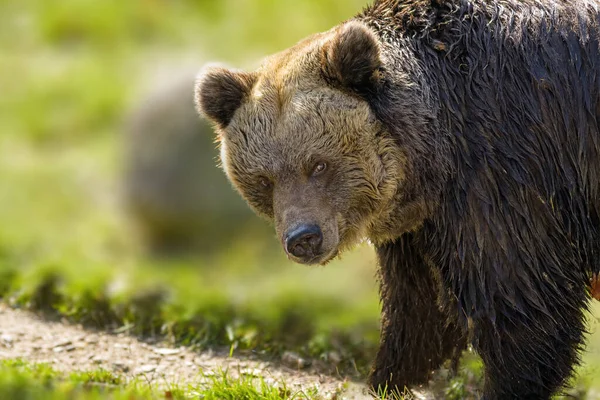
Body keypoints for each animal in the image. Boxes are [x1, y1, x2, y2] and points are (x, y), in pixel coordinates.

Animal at [195, 1, 596, 398]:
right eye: (264, 179)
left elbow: (522, 301)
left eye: (318, 164)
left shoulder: (504, 168)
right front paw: (391, 377)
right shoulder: (416, 228)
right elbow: (418, 309)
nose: (303, 238)